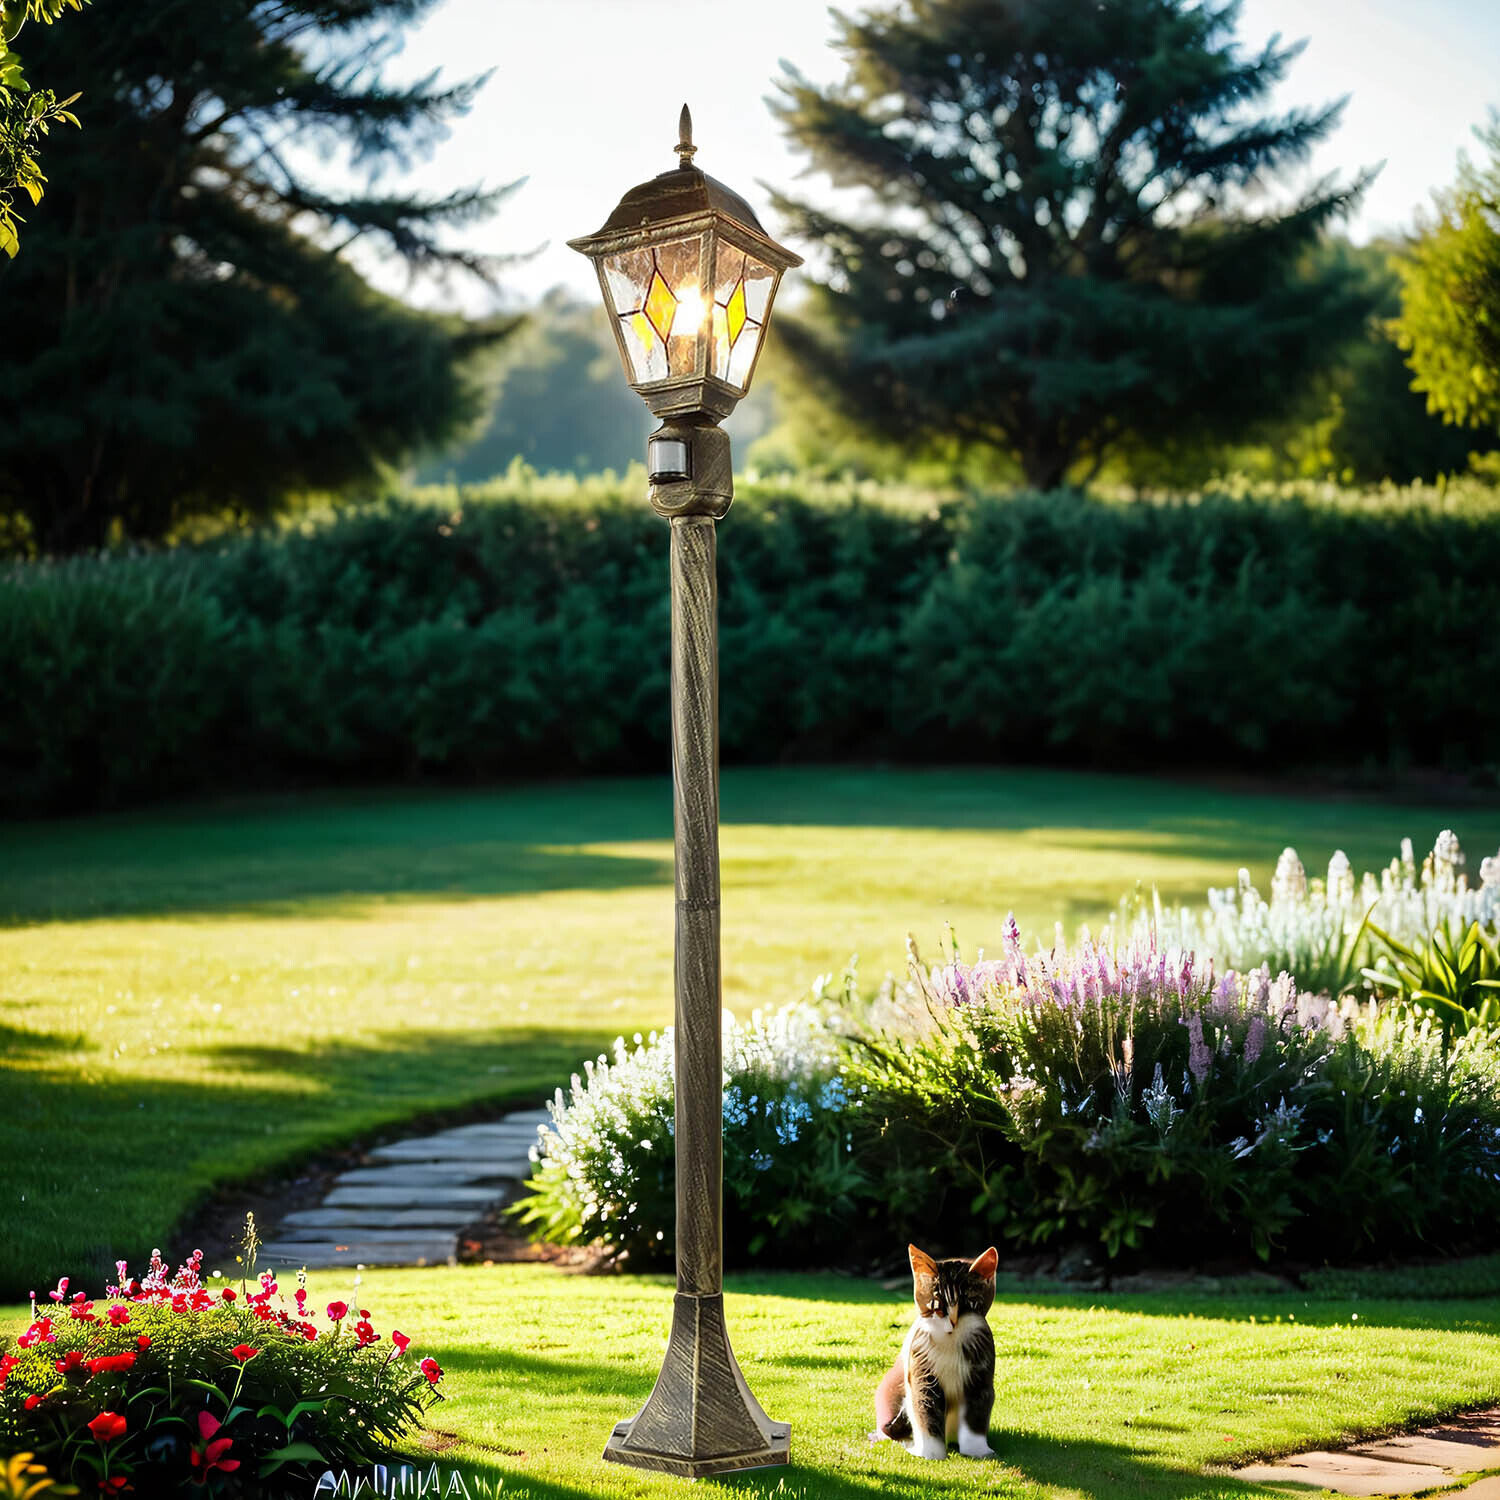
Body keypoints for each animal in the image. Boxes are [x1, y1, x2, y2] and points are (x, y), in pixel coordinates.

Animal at [870, 1248, 996, 1458]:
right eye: (937, 1305)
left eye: (967, 1305)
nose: (953, 1322)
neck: (951, 1342)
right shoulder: (921, 1365)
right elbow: (926, 1406)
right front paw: (931, 1454)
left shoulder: (981, 1368)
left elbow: (977, 1409)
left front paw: (978, 1451)